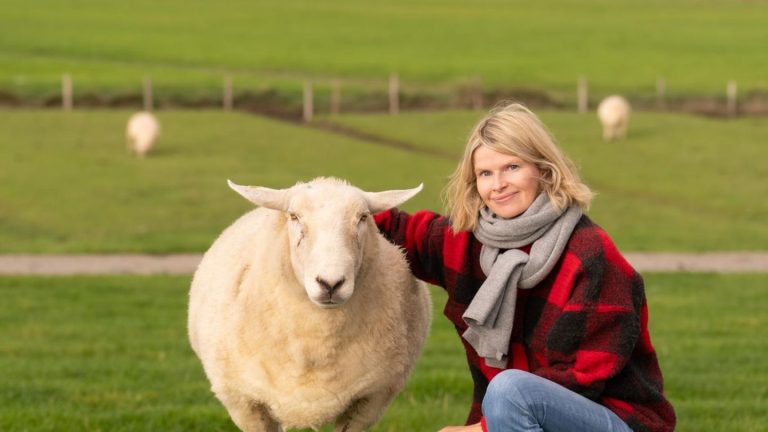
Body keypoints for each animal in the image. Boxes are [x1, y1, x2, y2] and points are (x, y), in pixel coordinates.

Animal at [188, 176, 432, 432]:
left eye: (363, 218)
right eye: (294, 216)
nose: (330, 283)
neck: (315, 345)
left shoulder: (370, 399)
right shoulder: (244, 402)